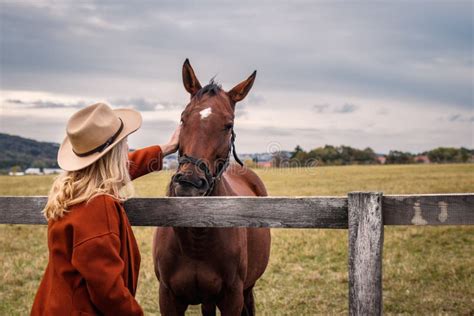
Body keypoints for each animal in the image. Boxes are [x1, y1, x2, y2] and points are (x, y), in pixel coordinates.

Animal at [152, 59, 270, 316]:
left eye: (228, 125)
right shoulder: (168, 298)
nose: (190, 183)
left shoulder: (232, 298)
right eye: (183, 118)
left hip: (247, 289)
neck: (196, 241)